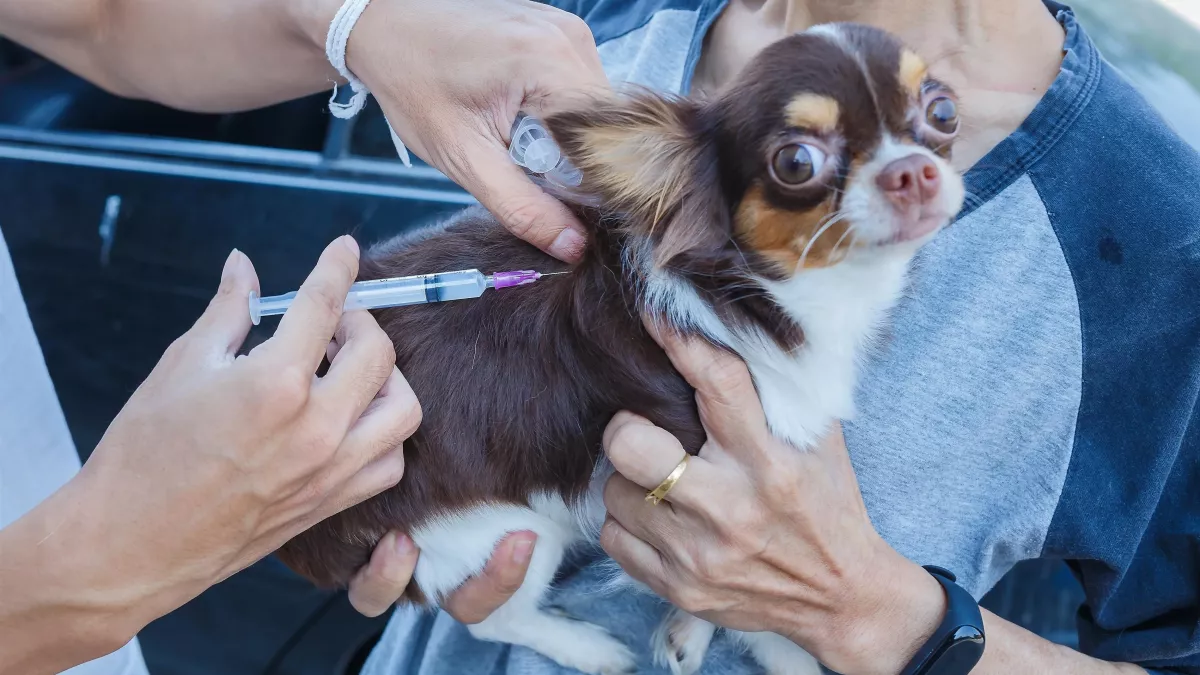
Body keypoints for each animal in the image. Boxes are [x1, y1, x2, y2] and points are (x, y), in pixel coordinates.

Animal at [276, 21, 960, 672]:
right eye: (795, 163)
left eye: (944, 112)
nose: (913, 170)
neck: (764, 295)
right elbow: (754, 608)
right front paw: (788, 656)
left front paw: (689, 634)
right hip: (502, 528)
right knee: (491, 618)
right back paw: (589, 649)